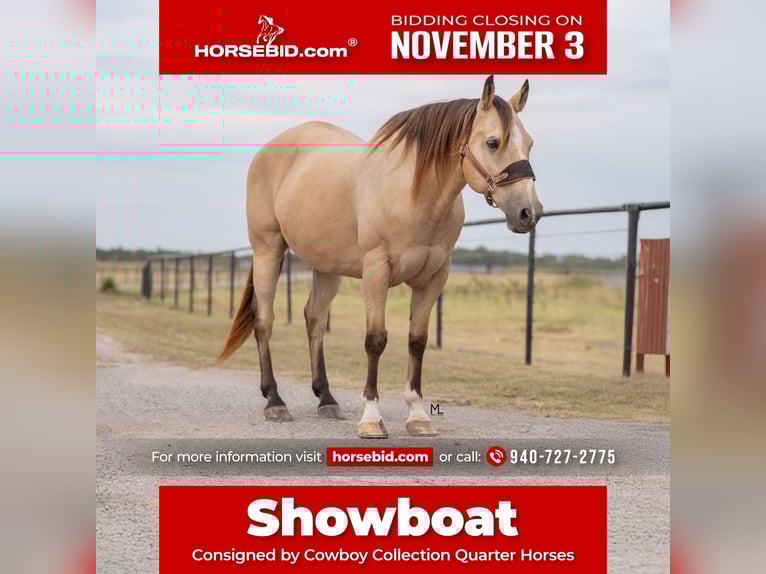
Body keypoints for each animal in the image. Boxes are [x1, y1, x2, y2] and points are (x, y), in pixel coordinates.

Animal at [218, 76, 543, 438]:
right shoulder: (377, 271)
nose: (528, 212)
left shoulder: (434, 278)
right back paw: (274, 401)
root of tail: (269, 150)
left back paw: (326, 398)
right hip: (267, 249)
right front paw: (372, 417)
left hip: (326, 266)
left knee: (314, 319)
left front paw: (418, 415)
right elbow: (375, 340)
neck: (414, 193)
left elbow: (417, 341)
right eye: (492, 142)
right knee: (264, 319)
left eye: (529, 144)